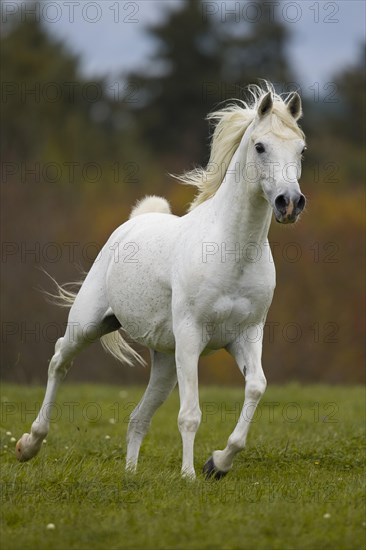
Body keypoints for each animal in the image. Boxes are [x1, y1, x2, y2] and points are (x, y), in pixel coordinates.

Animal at [15, 84, 306, 480]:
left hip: (166, 361)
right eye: (260, 146)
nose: (289, 203)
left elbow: (256, 387)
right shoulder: (191, 335)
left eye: (301, 149)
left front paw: (217, 463)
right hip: (90, 324)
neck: (232, 252)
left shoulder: (246, 334)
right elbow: (190, 414)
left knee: (138, 417)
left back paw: (130, 474)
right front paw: (189, 477)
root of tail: (133, 222)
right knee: (60, 359)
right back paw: (29, 444)